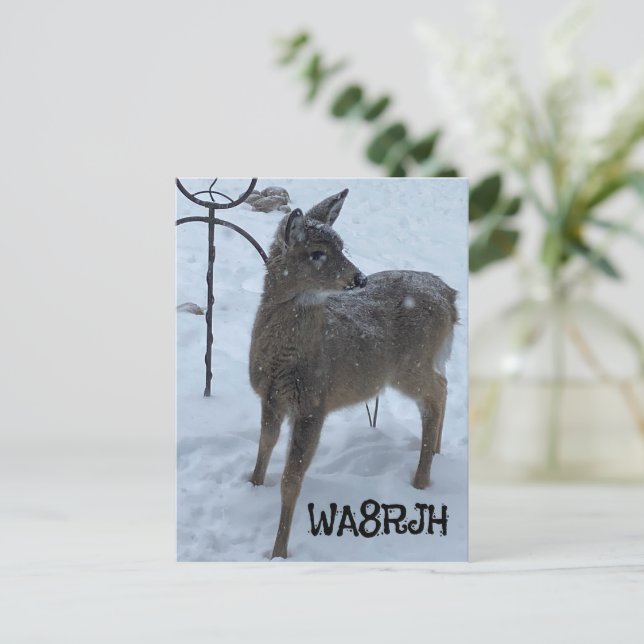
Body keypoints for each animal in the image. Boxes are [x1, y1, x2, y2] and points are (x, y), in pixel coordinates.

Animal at [248, 188, 458, 559]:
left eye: (342, 245)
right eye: (317, 253)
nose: (359, 279)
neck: (281, 360)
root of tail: (450, 296)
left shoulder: (313, 404)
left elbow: (291, 480)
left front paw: (279, 552)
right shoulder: (270, 397)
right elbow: (264, 445)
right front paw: (253, 486)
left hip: (410, 365)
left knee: (434, 396)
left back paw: (421, 479)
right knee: (443, 386)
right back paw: (434, 451)